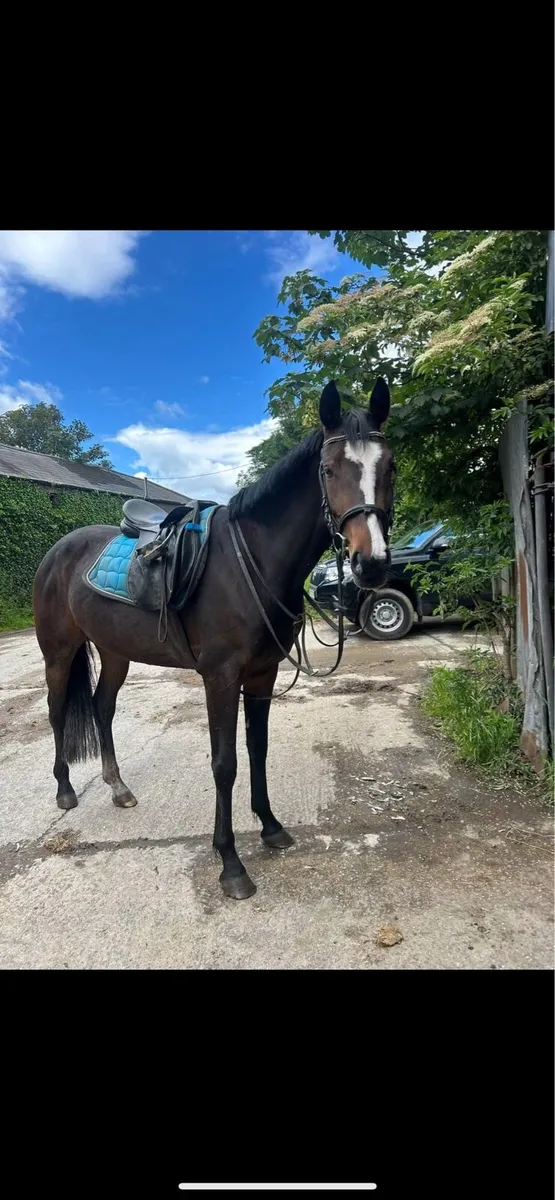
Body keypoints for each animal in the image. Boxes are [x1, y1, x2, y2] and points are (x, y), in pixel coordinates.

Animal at [32, 378, 395, 899]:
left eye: (390, 467)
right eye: (328, 470)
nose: (372, 563)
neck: (254, 561)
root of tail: (58, 550)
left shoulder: (262, 674)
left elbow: (258, 749)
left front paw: (270, 827)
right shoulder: (220, 677)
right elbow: (225, 764)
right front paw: (230, 863)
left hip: (115, 652)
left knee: (102, 707)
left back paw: (117, 786)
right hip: (58, 653)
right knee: (58, 710)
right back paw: (64, 790)